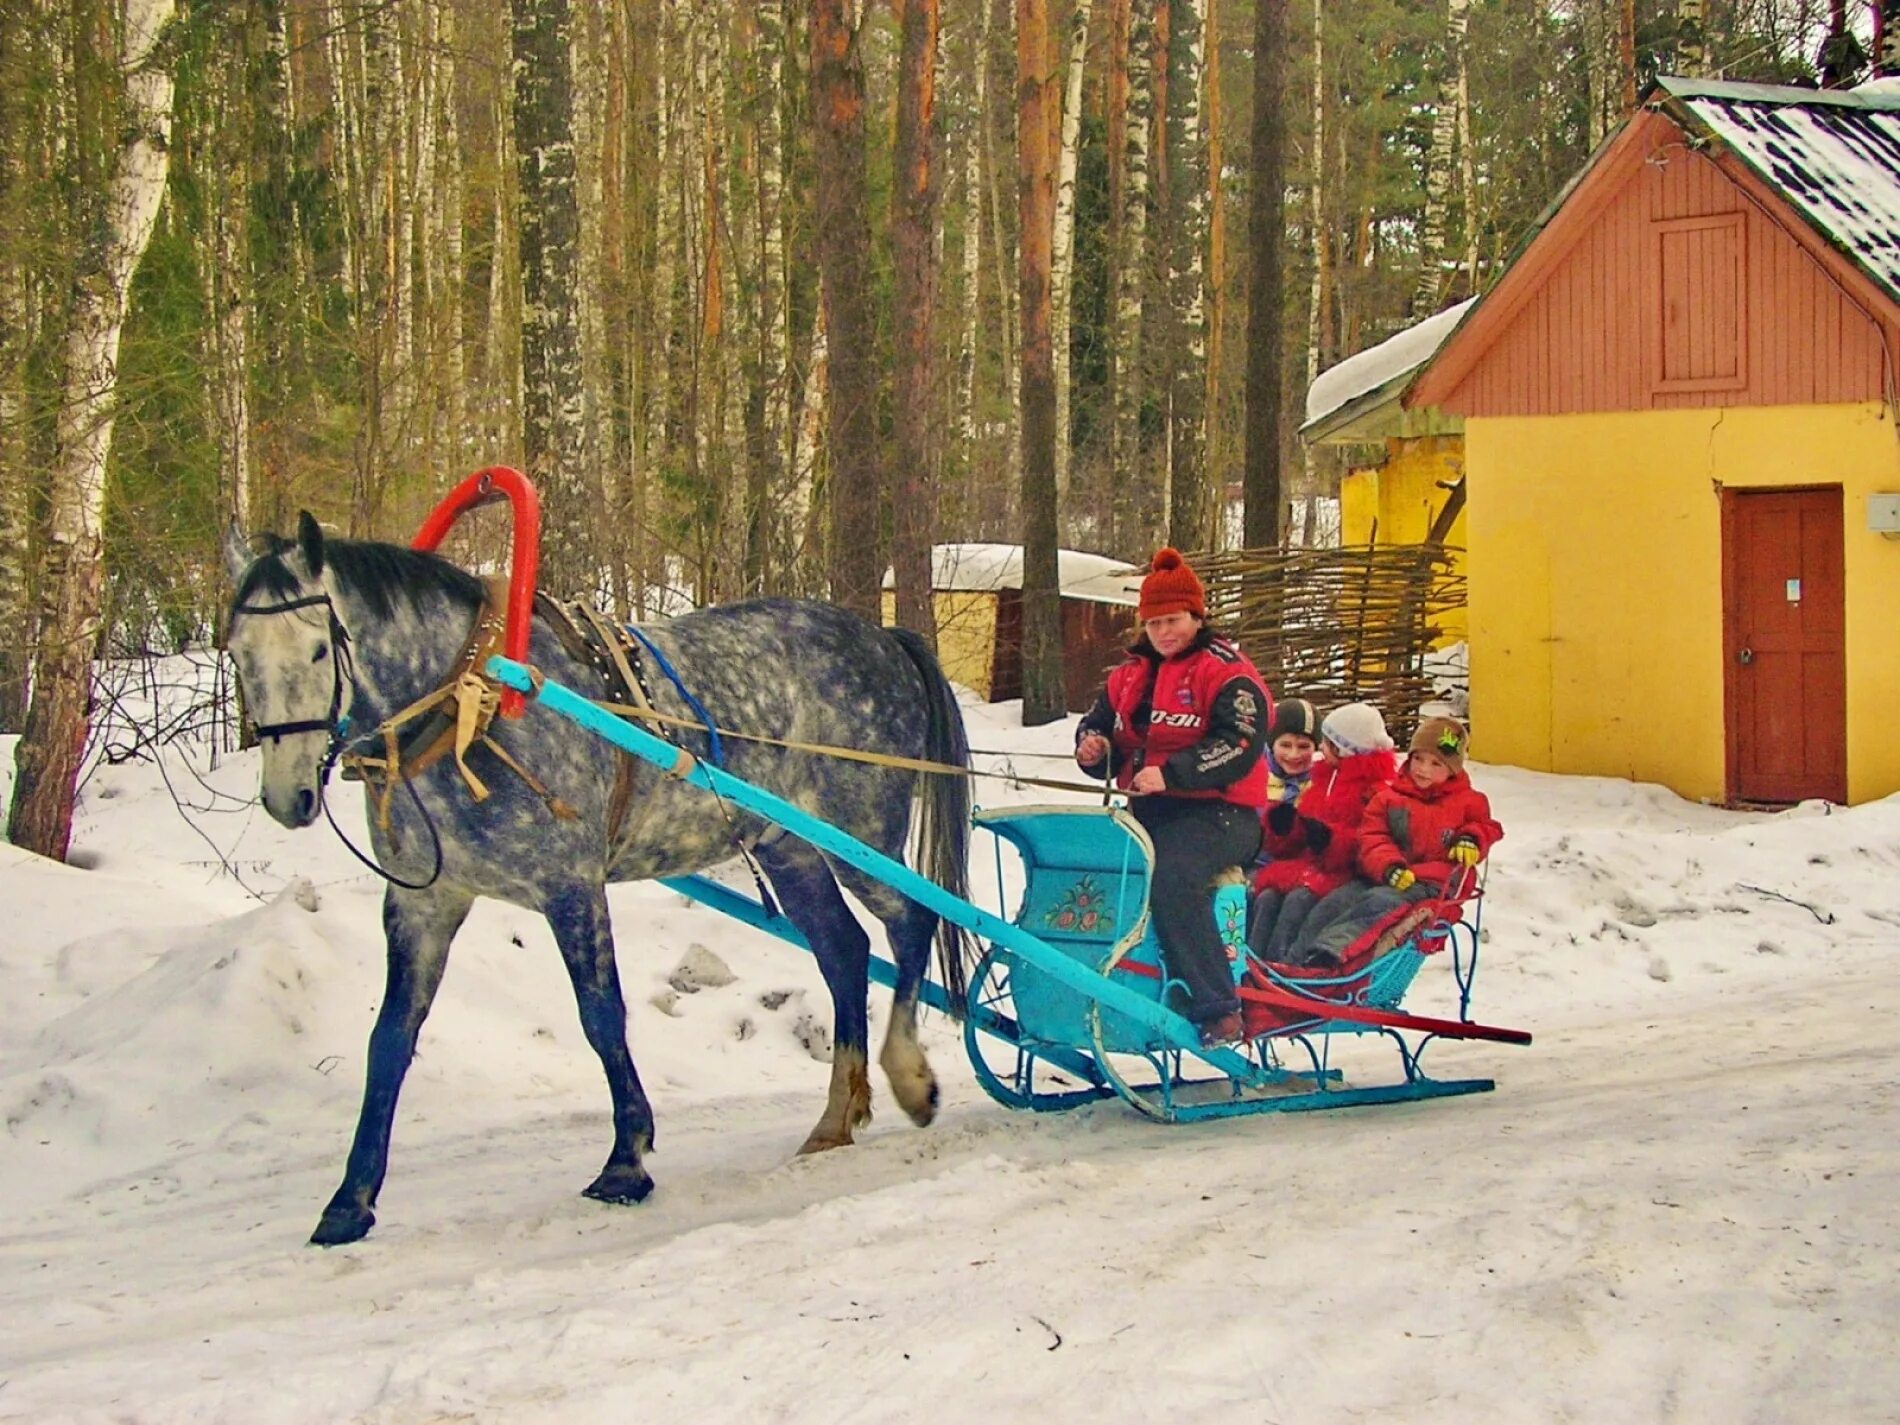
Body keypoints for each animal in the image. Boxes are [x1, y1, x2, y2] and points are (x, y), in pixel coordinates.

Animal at [222, 520, 972, 1246]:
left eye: (318, 649)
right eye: (236, 653)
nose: (287, 795)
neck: (473, 703)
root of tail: (883, 636)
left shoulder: (570, 886)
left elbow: (601, 1015)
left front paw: (625, 1160)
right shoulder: (423, 902)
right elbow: (389, 1039)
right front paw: (350, 1200)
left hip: (860, 833)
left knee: (911, 922)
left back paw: (909, 1075)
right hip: (789, 847)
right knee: (845, 951)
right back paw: (836, 1115)